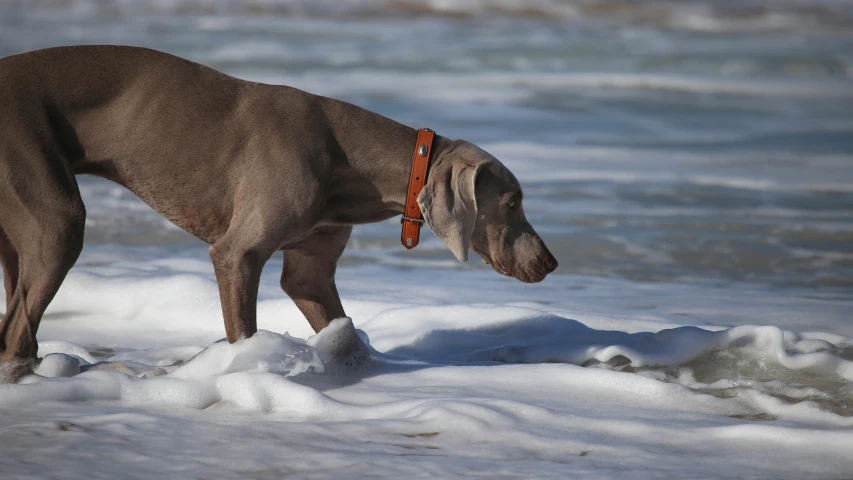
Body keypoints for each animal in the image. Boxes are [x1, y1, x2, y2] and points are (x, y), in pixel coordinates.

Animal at [0, 46, 560, 378]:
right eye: (513, 202)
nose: (551, 262)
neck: (350, 161)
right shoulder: (236, 254)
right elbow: (244, 330)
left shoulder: (310, 269)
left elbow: (338, 324)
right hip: (55, 216)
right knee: (20, 325)